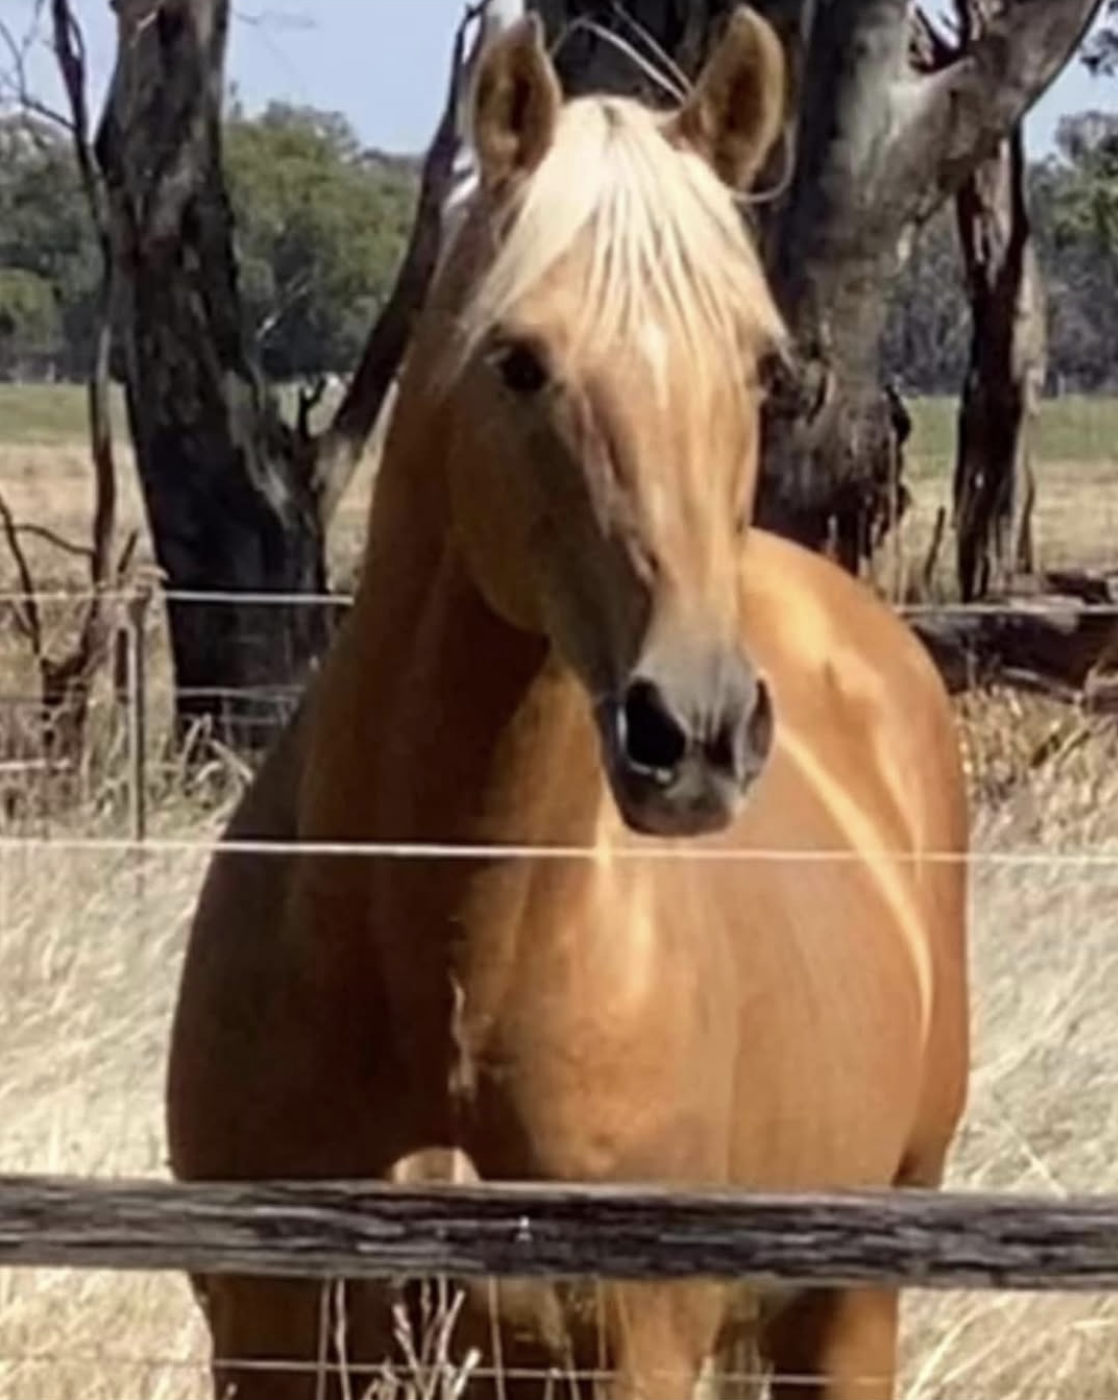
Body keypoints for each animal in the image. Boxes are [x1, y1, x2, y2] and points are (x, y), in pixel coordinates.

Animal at [166, 10, 969, 1399]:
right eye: (519, 361)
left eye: (760, 368)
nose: (693, 732)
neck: (445, 971)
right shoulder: (266, 1340)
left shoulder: (633, 1343)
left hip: (851, 1298)